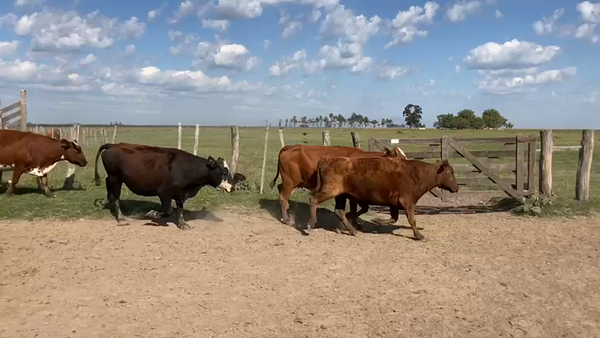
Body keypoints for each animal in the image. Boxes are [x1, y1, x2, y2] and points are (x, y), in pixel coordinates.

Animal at [94, 143, 234, 230]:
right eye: (224, 172)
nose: (233, 187)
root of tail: (114, 145)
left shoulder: (181, 194)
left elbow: (180, 209)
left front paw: (182, 224)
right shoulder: (164, 192)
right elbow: (168, 211)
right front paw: (153, 214)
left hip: (113, 178)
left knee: (108, 184)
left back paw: (108, 200)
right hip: (116, 179)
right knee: (116, 197)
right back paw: (121, 217)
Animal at [270, 143, 408, 226]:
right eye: (398, 160)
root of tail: (290, 147)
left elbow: (362, 208)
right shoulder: (354, 194)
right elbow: (359, 208)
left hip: (290, 182)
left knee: (280, 190)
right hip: (290, 181)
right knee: (283, 197)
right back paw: (286, 219)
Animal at [310, 156, 460, 240]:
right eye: (451, 172)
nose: (457, 188)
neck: (417, 174)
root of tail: (326, 160)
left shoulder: (394, 204)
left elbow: (394, 218)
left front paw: (377, 220)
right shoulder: (407, 201)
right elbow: (412, 220)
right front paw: (419, 235)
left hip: (340, 195)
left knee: (339, 211)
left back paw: (352, 230)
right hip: (330, 190)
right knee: (314, 200)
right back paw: (311, 224)